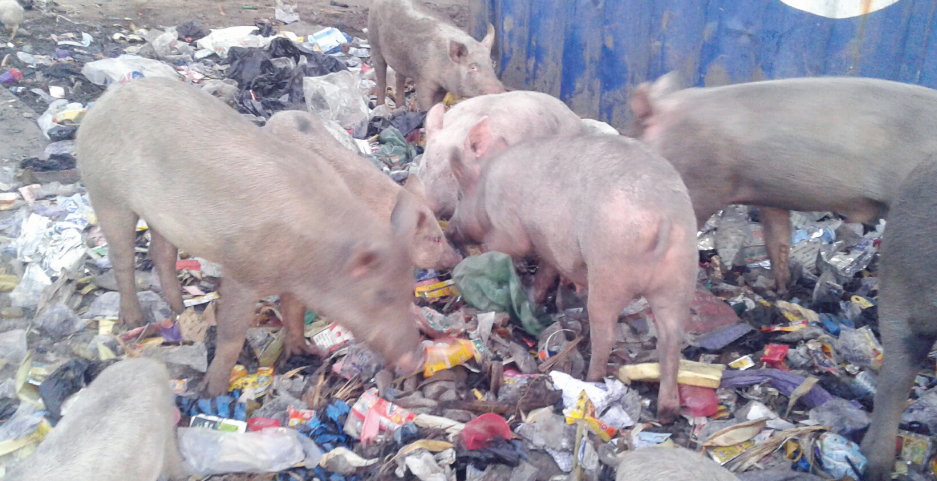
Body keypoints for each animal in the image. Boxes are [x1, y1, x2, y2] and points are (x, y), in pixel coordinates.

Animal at [76, 78, 422, 396]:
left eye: (409, 290)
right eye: (381, 295)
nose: (416, 359)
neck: (315, 256)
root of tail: (103, 102)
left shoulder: (294, 283)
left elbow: (294, 314)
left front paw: (303, 353)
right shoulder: (243, 273)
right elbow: (231, 335)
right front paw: (213, 392)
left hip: (162, 217)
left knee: (162, 254)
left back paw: (180, 311)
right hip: (105, 192)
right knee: (121, 258)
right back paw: (133, 321)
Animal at [368, 0, 506, 110]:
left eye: (492, 64)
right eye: (472, 67)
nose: (501, 91)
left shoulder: (443, 87)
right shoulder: (423, 77)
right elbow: (425, 101)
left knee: (399, 78)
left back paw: (401, 107)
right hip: (374, 43)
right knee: (381, 78)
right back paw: (379, 107)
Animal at [445, 133, 697, 424]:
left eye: (459, 194)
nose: (449, 231)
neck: (486, 184)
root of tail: (666, 220)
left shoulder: (510, 226)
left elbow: (508, 247)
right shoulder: (548, 246)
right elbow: (547, 269)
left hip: (608, 272)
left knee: (605, 334)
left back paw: (590, 379)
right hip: (679, 280)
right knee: (671, 339)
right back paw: (667, 412)